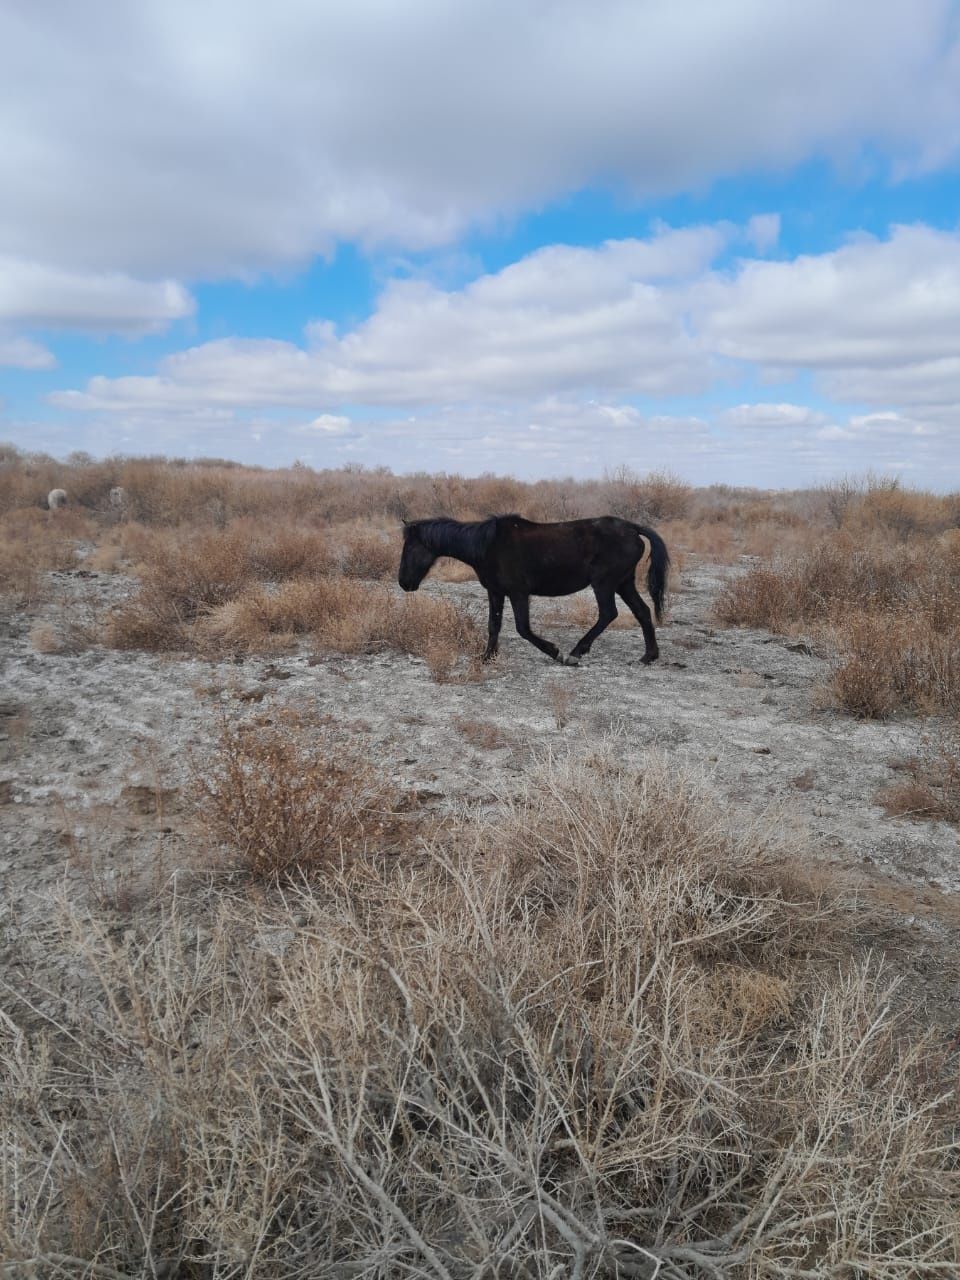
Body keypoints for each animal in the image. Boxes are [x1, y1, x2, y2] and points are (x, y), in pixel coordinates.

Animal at [399, 512, 670, 665]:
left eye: (410, 547)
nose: (403, 582)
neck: (488, 546)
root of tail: (633, 528)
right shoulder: (495, 592)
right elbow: (493, 625)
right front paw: (487, 658)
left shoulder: (518, 593)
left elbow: (523, 629)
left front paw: (555, 652)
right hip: (624, 583)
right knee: (643, 612)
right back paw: (649, 656)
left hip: (604, 583)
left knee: (608, 614)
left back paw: (575, 653)